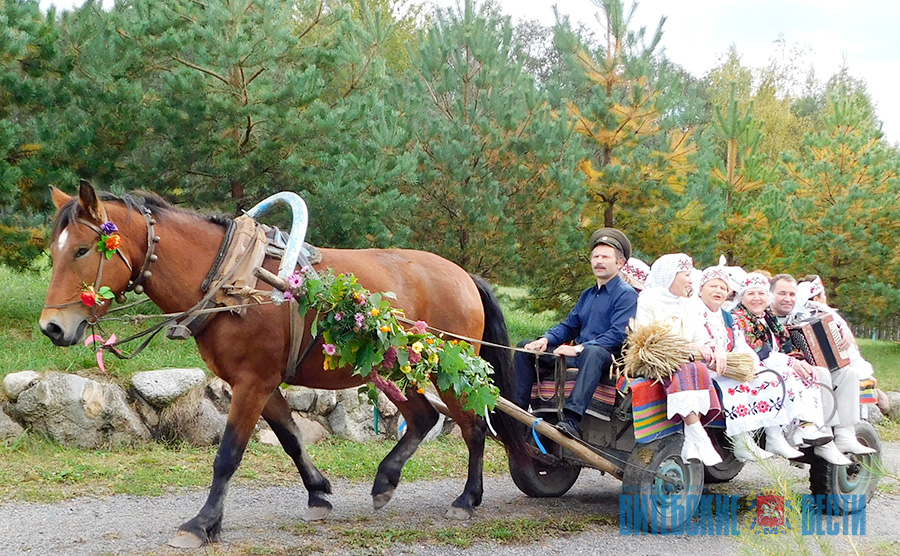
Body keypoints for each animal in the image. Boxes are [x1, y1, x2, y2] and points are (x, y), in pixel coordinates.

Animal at [38, 184, 524, 548]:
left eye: (83, 250)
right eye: (54, 251)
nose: (52, 327)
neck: (234, 280)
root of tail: (464, 276)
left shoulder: (252, 383)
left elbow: (228, 456)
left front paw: (202, 523)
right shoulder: (258, 383)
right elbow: (291, 439)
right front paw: (318, 494)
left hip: (450, 370)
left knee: (473, 427)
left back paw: (466, 499)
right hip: (390, 368)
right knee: (423, 418)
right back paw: (385, 481)